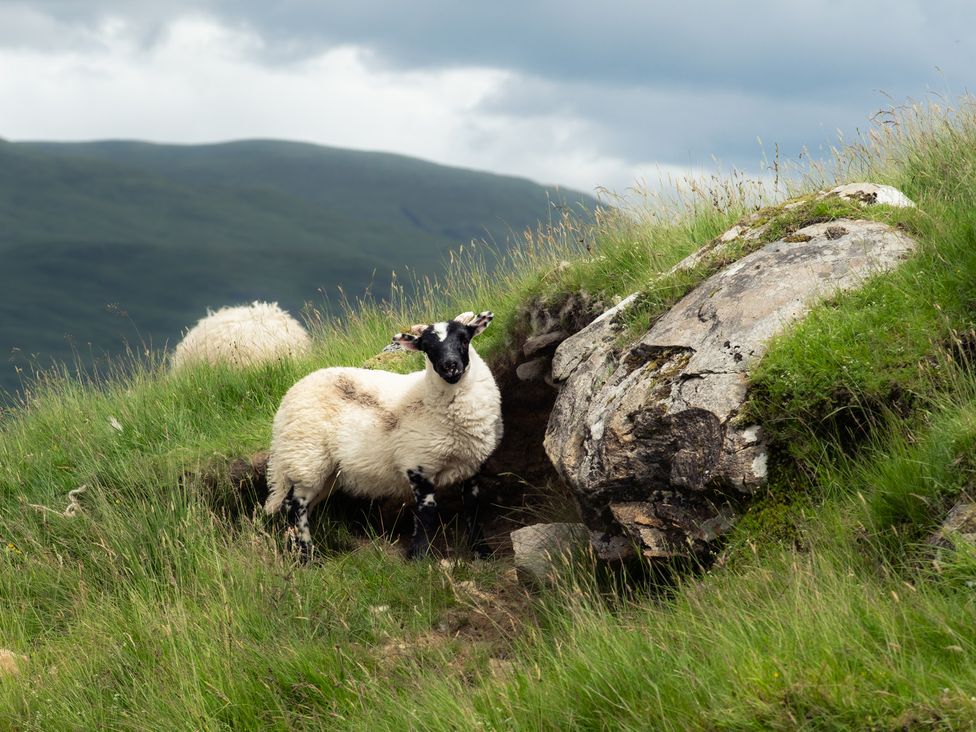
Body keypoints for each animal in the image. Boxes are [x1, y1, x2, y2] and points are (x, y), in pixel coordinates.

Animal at [264, 310, 503, 560]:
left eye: (464, 339)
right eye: (427, 348)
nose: (449, 366)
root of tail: (288, 399)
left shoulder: (471, 466)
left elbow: (473, 510)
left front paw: (482, 551)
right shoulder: (418, 465)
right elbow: (426, 516)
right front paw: (418, 556)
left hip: (326, 471)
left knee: (303, 505)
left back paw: (297, 548)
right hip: (306, 458)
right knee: (294, 505)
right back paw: (306, 556)